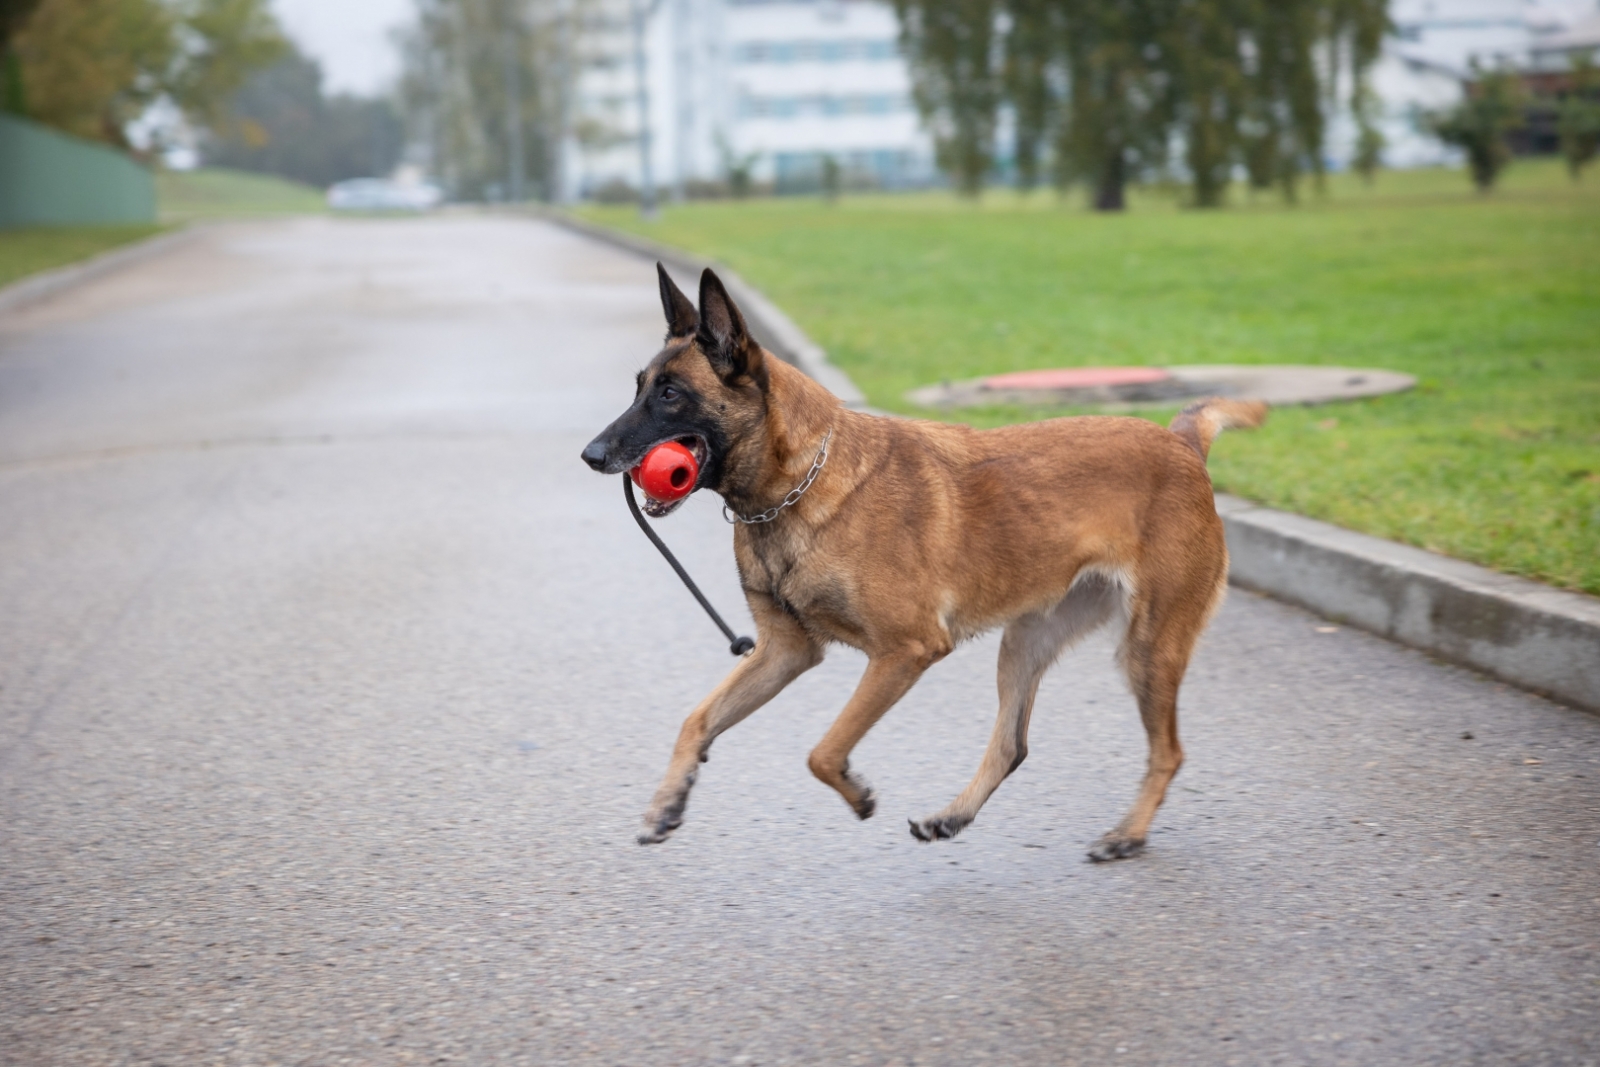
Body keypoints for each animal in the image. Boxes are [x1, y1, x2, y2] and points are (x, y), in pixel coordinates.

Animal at [582, 265, 1267, 857]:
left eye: (671, 394)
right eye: (639, 389)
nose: (591, 454)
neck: (799, 483)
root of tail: (1181, 443)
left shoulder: (905, 651)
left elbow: (823, 751)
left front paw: (857, 793)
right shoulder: (785, 652)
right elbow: (696, 719)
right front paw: (669, 802)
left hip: (1149, 648)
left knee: (1168, 751)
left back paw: (1128, 834)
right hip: (1026, 641)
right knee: (1012, 745)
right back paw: (952, 816)